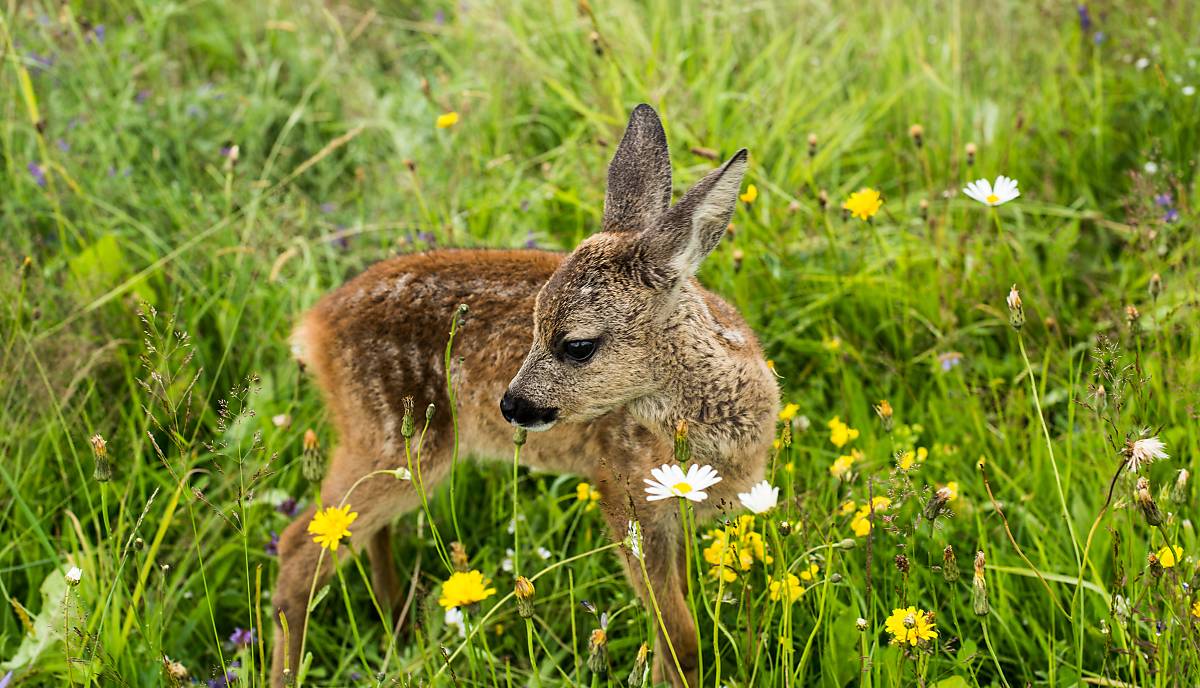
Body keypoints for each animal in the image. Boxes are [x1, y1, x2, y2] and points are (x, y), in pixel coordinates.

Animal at [272, 104, 777, 681]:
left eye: (576, 344)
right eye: (533, 323)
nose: (510, 405)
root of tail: (313, 328)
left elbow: (669, 631)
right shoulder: (621, 486)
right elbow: (681, 640)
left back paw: (399, 624)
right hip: (394, 436)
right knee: (298, 547)